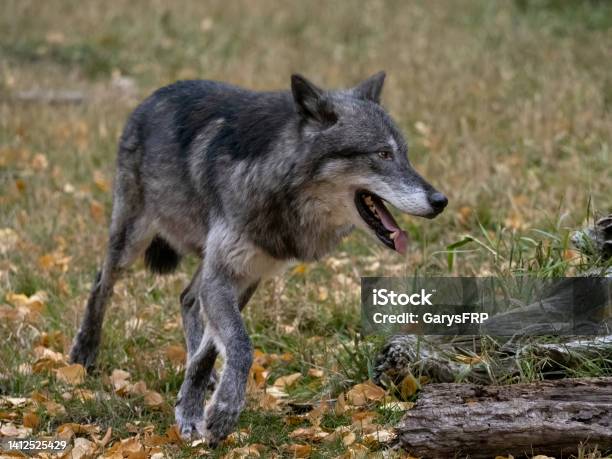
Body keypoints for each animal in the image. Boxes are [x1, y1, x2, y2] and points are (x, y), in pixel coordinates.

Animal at [68, 72, 450, 446]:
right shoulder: (223, 275)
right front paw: (219, 412)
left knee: (187, 297)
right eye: (383, 154)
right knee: (101, 284)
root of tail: (154, 95)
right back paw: (83, 354)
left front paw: (193, 406)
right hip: (132, 239)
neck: (277, 185)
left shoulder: (247, 276)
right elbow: (240, 344)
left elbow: (210, 352)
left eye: (405, 155)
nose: (441, 201)